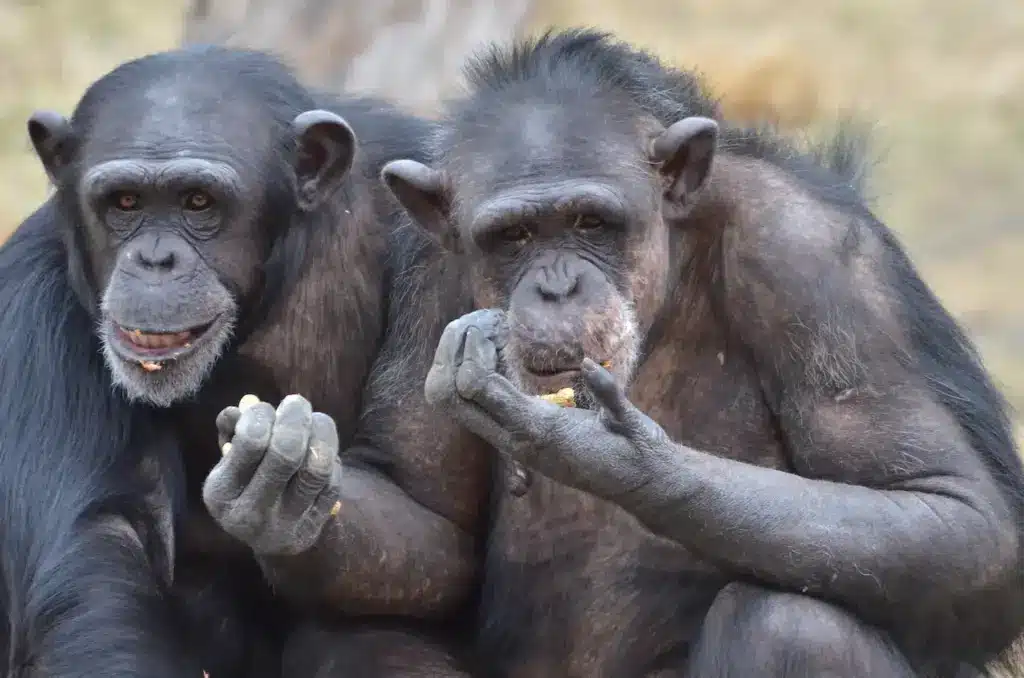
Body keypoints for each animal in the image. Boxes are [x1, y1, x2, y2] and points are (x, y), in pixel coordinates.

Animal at [0, 46, 487, 678]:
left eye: (198, 202)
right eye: (124, 203)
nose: (155, 259)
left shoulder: (440, 246)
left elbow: (430, 517)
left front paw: (287, 495)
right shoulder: (32, 298)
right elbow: (101, 547)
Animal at [382, 29, 1024, 678]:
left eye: (590, 222)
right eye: (513, 236)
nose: (556, 288)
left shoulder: (813, 255)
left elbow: (957, 513)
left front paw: (615, 457)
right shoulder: (425, 276)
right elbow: (428, 524)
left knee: (793, 625)